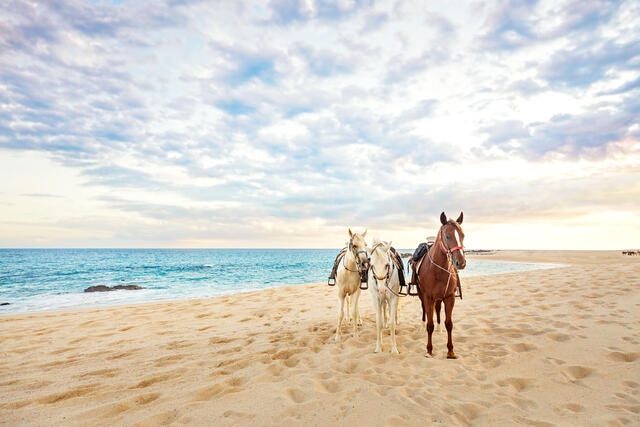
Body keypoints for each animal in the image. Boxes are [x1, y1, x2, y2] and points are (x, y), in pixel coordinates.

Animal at [416, 212, 464, 360]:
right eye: (448, 236)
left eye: (462, 235)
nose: (461, 262)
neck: (437, 269)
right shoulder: (428, 297)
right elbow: (429, 325)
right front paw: (429, 350)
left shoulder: (449, 297)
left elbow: (449, 324)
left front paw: (450, 351)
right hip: (422, 295)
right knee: (424, 310)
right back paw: (422, 325)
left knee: (437, 309)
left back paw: (439, 327)